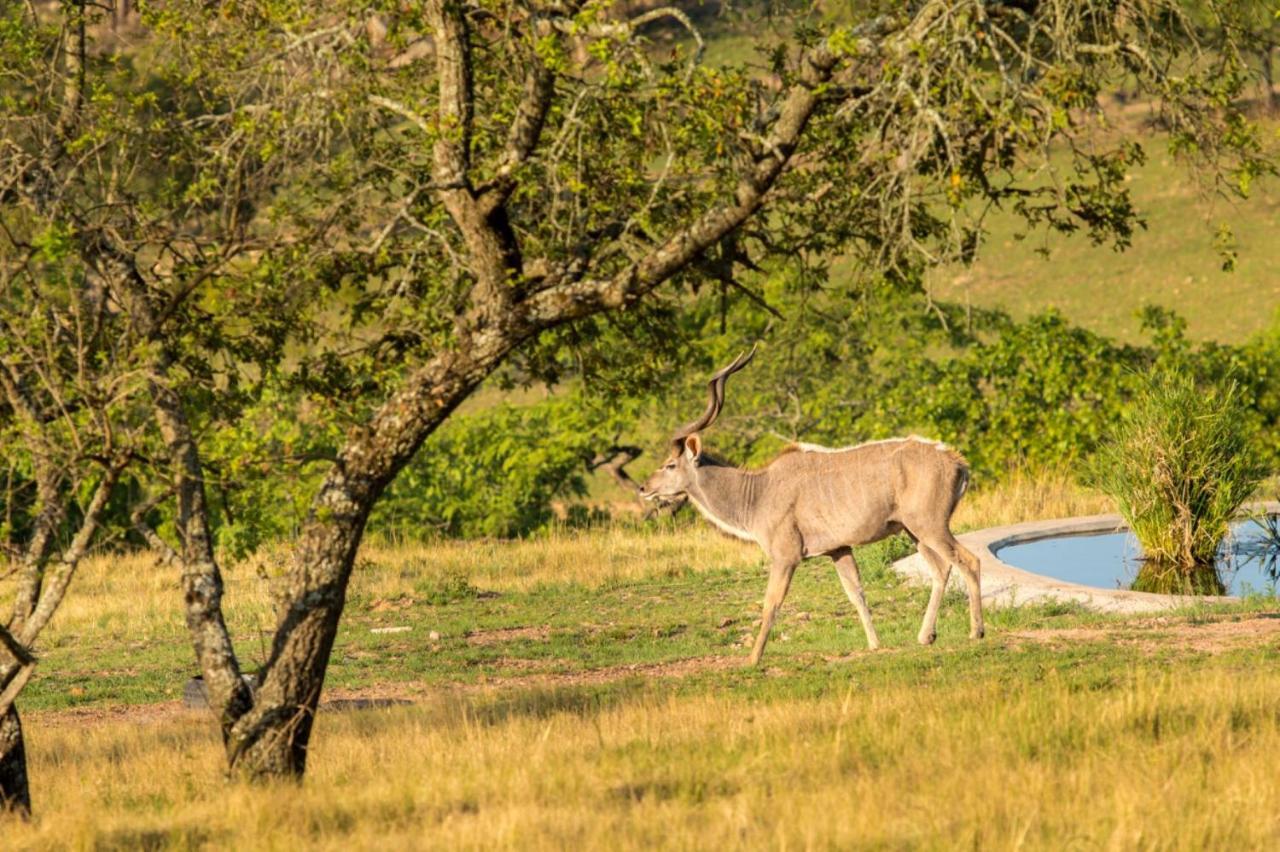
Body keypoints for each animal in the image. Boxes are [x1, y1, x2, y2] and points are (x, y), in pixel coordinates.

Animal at [637, 347, 977, 665]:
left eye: (670, 465)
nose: (643, 488)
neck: (758, 493)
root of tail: (958, 463)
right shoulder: (838, 549)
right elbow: (856, 592)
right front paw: (874, 645)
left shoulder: (785, 556)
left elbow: (771, 602)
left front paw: (753, 659)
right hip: (913, 531)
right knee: (941, 568)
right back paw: (926, 636)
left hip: (930, 526)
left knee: (968, 560)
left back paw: (977, 632)